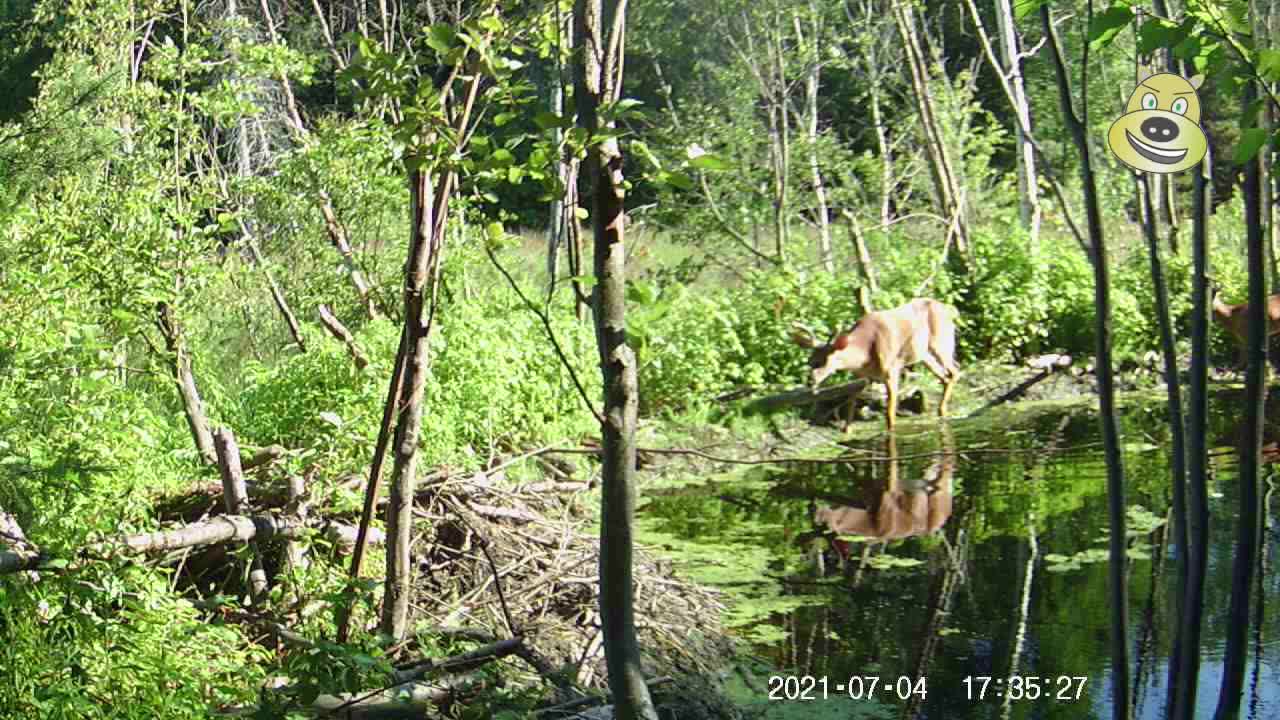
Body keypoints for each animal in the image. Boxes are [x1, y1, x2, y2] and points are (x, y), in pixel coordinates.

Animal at [788, 295, 962, 427]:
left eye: (825, 361)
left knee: (955, 370)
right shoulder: (862, 375)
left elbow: (890, 414)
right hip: (924, 354)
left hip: (941, 343)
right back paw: (941, 412)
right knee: (945, 376)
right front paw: (846, 431)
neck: (864, 353)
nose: (810, 381)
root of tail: (950, 310)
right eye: (810, 360)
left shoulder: (892, 369)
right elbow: (851, 403)